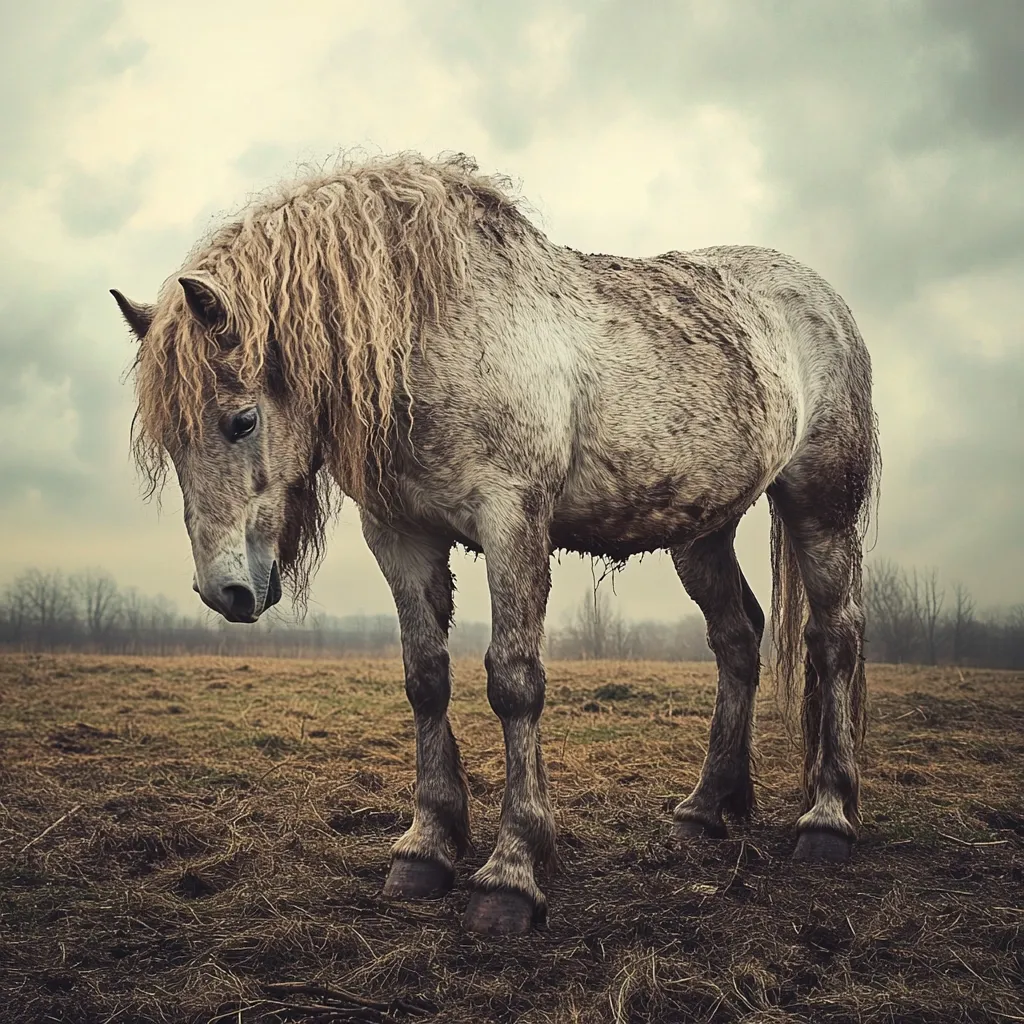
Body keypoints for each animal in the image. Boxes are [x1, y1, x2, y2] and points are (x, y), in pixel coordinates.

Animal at [112, 153, 880, 936]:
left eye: (241, 420)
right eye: (172, 443)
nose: (226, 592)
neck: (433, 336)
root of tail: (818, 297)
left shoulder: (512, 522)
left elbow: (514, 683)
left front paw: (511, 872)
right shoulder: (400, 535)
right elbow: (425, 678)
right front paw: (425, 849)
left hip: (820, 507)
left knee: (834, 637)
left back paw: (827, 818)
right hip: (700, 532)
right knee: (737, 639)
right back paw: (705, 810)